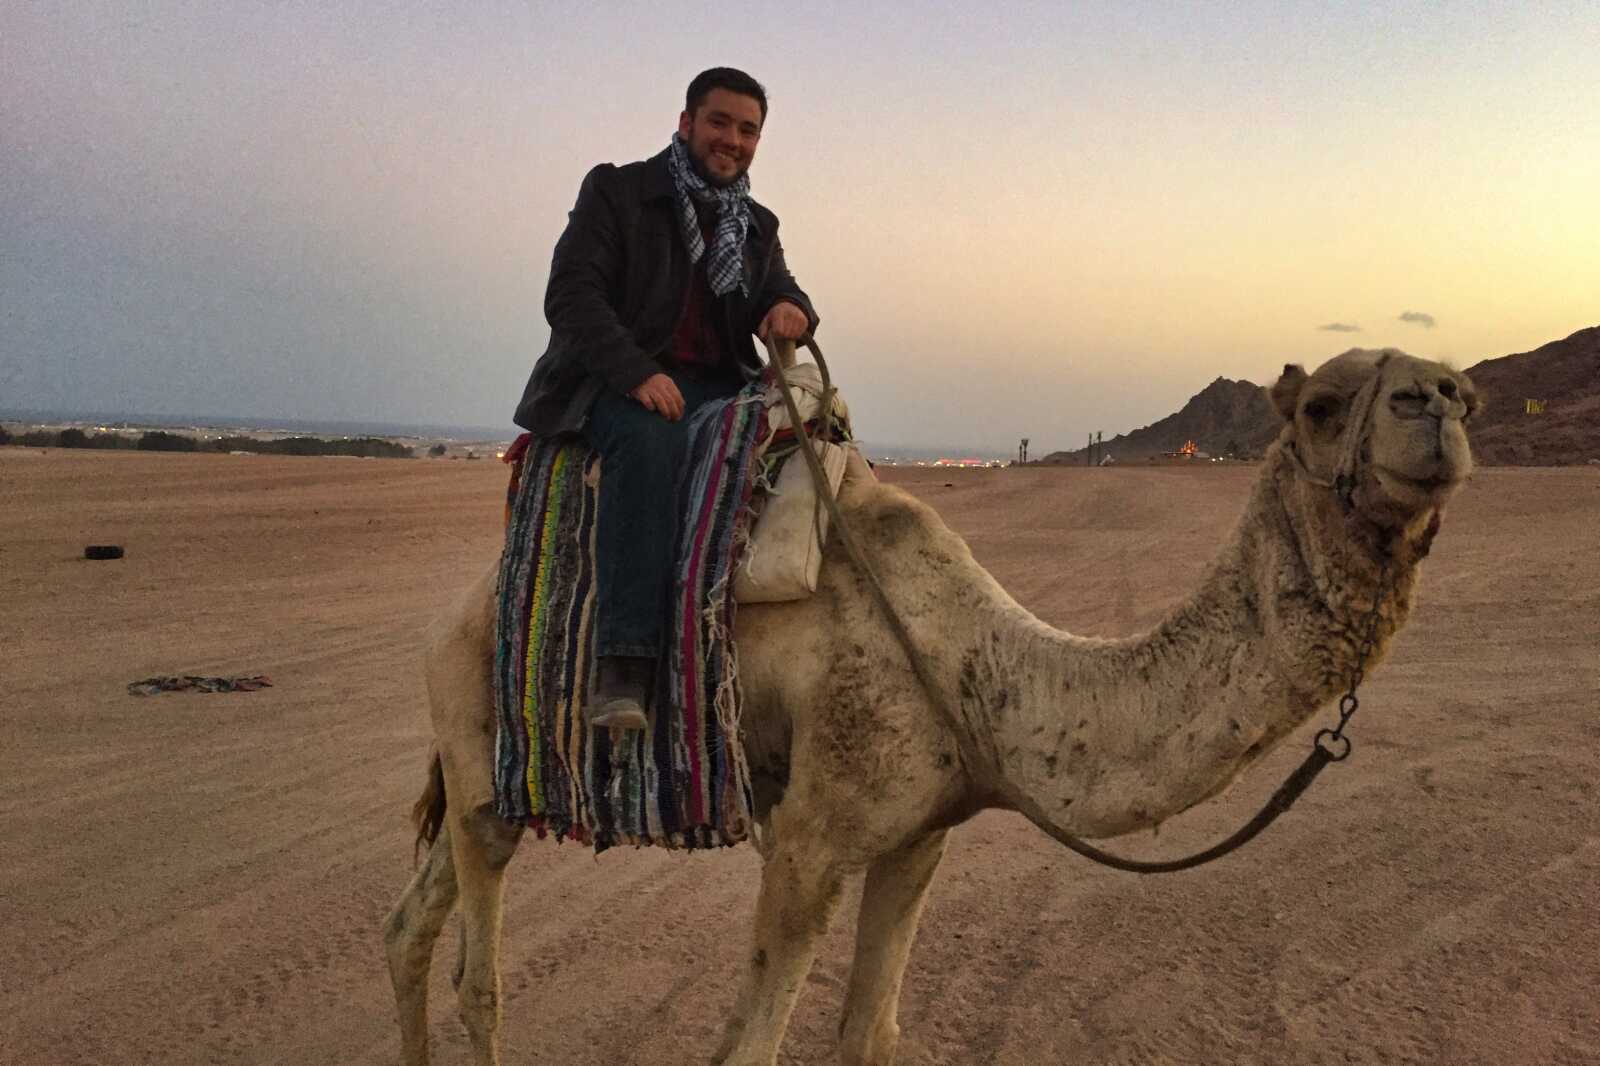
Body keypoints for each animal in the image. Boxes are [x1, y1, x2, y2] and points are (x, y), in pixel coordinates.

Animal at [384, 344, 1472, 1056]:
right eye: (1323, 404)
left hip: (478, 772)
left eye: (1457, 385)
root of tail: (459, 609)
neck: (976, 671)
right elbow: (750, 1045)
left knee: (408, 929)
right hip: (481, 750)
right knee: (479, 983)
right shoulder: (812, 840)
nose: (1439, 402)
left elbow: (870, 1035)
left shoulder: (919, 837)